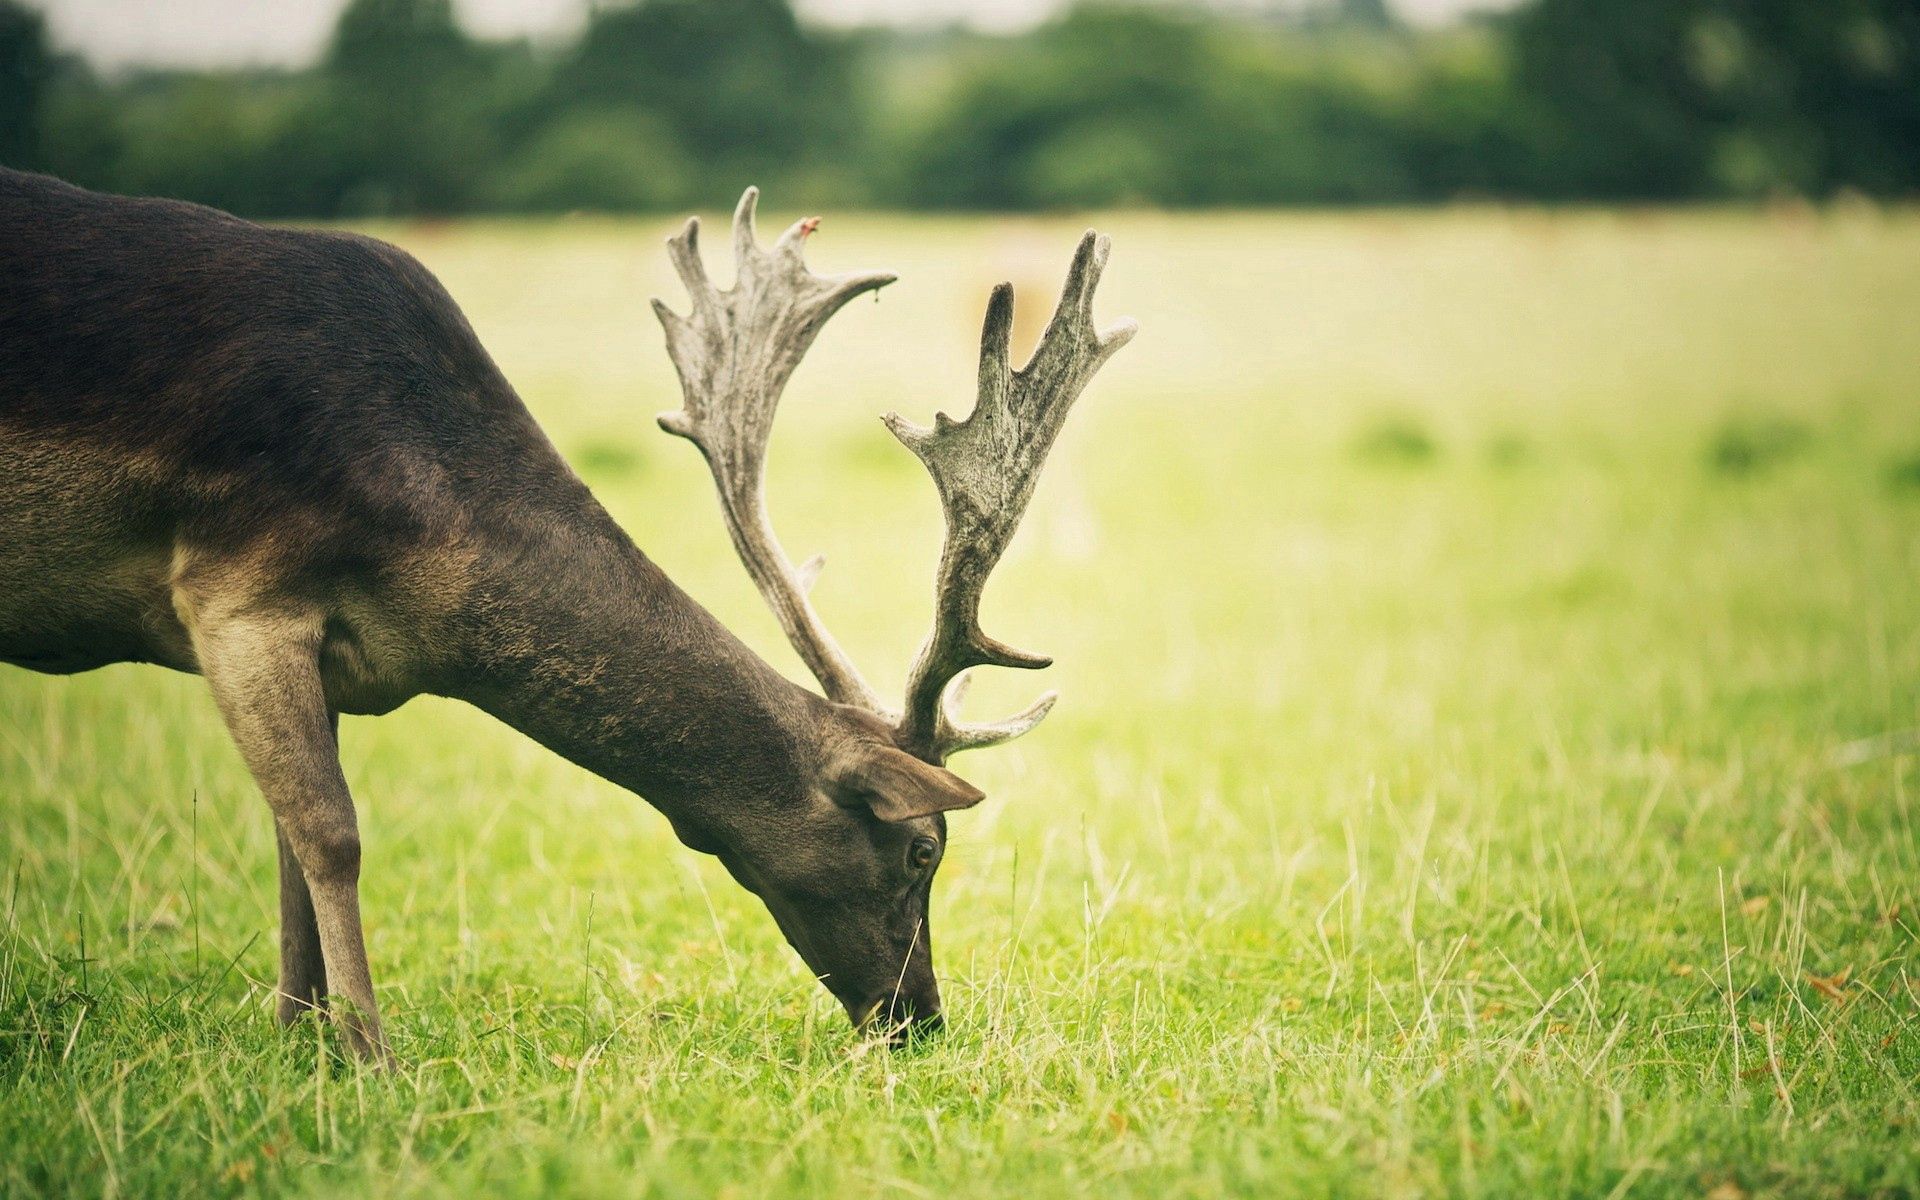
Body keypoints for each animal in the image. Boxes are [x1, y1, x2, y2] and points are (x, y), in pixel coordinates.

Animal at [0, 168, 1128, 1059]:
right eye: (923, 848)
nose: (921, 1018)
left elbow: (287, 848)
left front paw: (295, 1038)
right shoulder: (233, 588)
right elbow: (330, 833)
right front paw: (369, 1056)